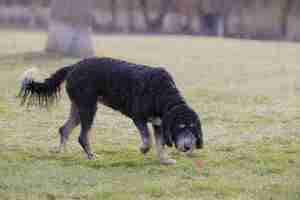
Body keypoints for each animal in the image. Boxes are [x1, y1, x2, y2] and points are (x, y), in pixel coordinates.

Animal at [19, 57, 204, 165]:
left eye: (193, 127)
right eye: (180, 127)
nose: (188, 147)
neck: (163, 94)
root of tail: (74, 65)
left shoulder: (159, 124)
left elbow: (159, 145)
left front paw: (164, 160)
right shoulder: (138, 117)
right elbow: (148, 139)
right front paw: (144, 149)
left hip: (78, 108)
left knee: (64, 129)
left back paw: (61, 151)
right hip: (89, 108)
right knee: (82, 136)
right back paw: (91, 156)